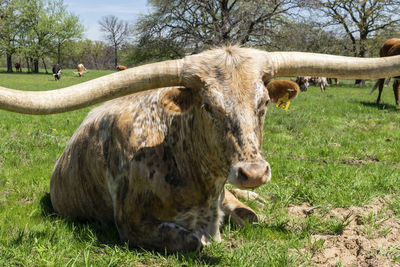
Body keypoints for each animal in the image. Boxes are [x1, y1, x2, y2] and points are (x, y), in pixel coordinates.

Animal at [0, 46, 400, 253]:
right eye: (208, 106)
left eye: (263, 104)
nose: (253, 173)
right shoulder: (132, 225)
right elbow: (195, 242)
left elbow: (251, 216)